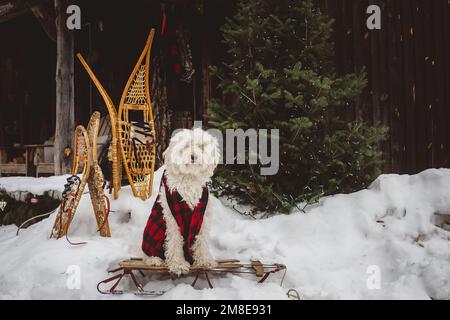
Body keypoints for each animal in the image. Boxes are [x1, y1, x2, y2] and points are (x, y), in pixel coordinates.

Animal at [140, 127, 219, 276]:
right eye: (186, 146)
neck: (189, 178)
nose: (193, 156)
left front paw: (204, 260)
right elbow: (175, 242)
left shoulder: (201, 217)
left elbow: (201, 240)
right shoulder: (173, 219)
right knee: (148, 254)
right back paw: (154, 260)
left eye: (201, 146)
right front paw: (178, 264)